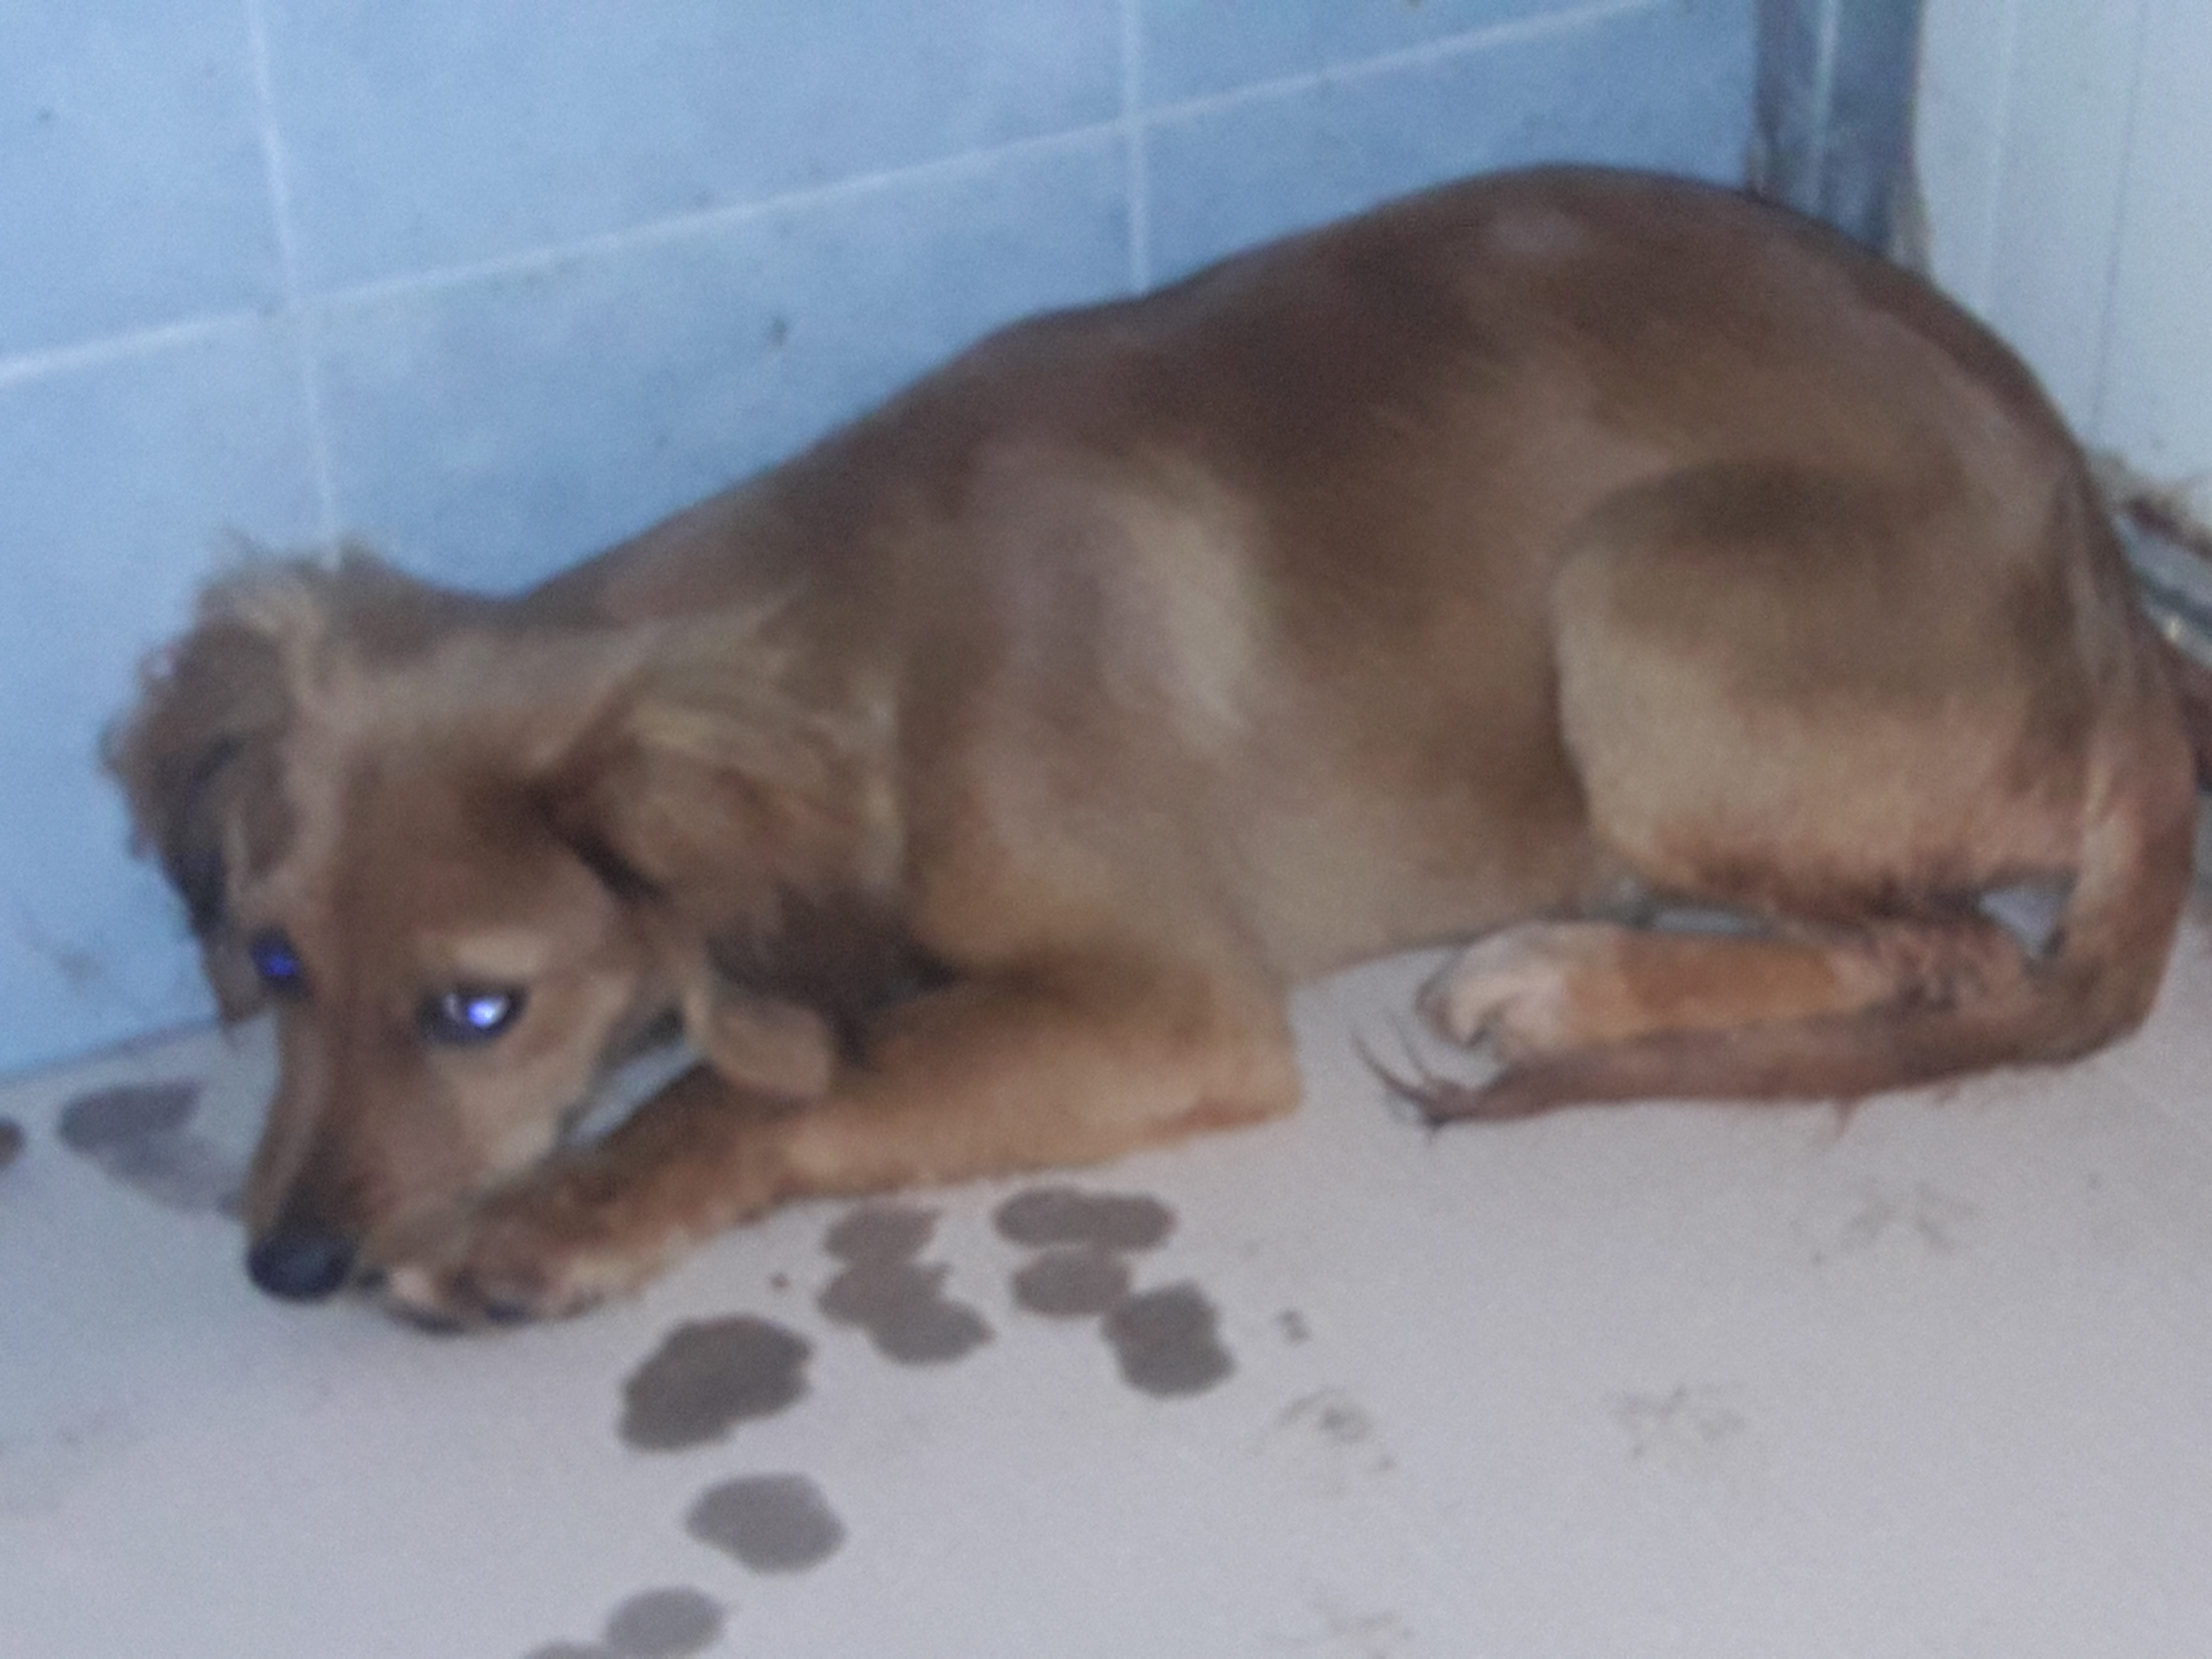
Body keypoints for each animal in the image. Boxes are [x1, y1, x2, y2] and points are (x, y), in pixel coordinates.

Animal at [109, 166, 2203, 1329]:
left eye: (479, 1009)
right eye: (273, 962)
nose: (283, 1268)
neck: (875, 624)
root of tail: (2118, 613)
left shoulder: (1168, 1003)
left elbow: (760, 1089)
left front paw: (553, 1220)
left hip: (1631, 596)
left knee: (1944, 952)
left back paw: (1565, 971)